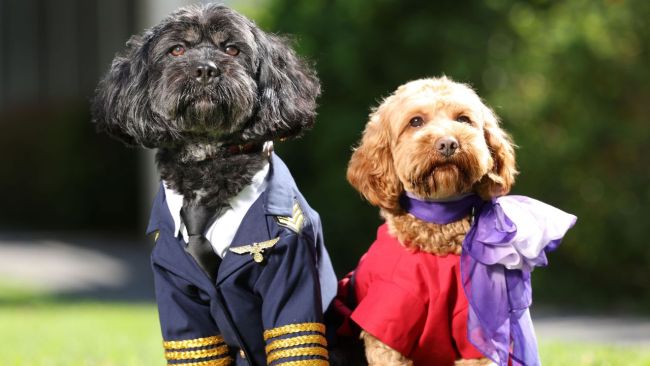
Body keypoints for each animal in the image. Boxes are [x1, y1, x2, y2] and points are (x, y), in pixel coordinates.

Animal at [92, 3, 334, 366]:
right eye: (177, 50)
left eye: (231, 49)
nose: (205, 70)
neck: (207, 165)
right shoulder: (177, 290)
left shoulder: (290, 273)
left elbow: (292, 341)